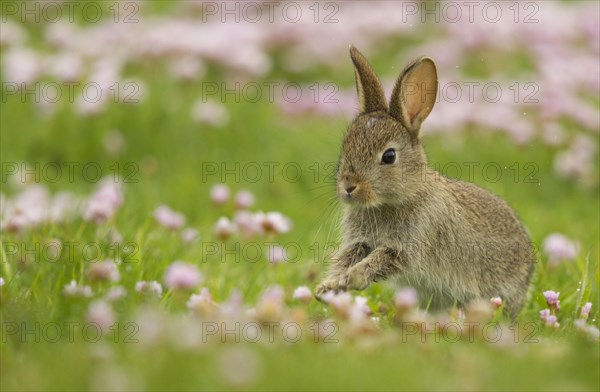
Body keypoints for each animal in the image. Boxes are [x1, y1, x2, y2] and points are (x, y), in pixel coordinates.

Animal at [314, 46, 536, 316]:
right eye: (345, 147)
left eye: (389, 156)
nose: (348, 187)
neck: (397, 198)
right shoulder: (362, 242)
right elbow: (348, 256)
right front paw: (328, 287)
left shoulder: (409, 245)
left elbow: (381, 259)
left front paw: (353, 277)